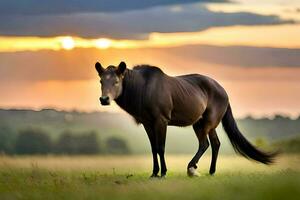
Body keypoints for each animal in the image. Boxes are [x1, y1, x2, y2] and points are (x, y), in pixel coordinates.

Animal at [94, 61, 276, 178]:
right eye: (101, 81)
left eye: (116, 81)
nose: (104, 99)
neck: (144, 89)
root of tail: (224, 91)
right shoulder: (147, 123)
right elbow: (153, 148)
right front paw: (154, 172)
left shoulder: (161, 121)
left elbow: (160, 147)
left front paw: (163, 173)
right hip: (201, 123)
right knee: (215, 144)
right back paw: (211, 171)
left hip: (207, 123)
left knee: (205, 144)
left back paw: (191, 167)